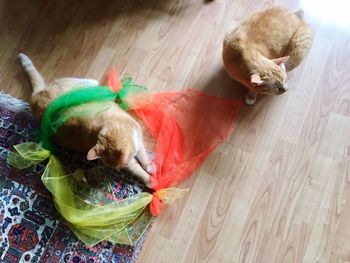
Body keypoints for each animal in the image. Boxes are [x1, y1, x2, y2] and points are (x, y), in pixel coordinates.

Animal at [18, 53, 153, 189]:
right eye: (115, 168)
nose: (118, 170)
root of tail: (35, 98)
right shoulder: (131, 155)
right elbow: (137, 168)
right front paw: (149, 179)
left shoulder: (138, 136)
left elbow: (142, 155)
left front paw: (149, 167)